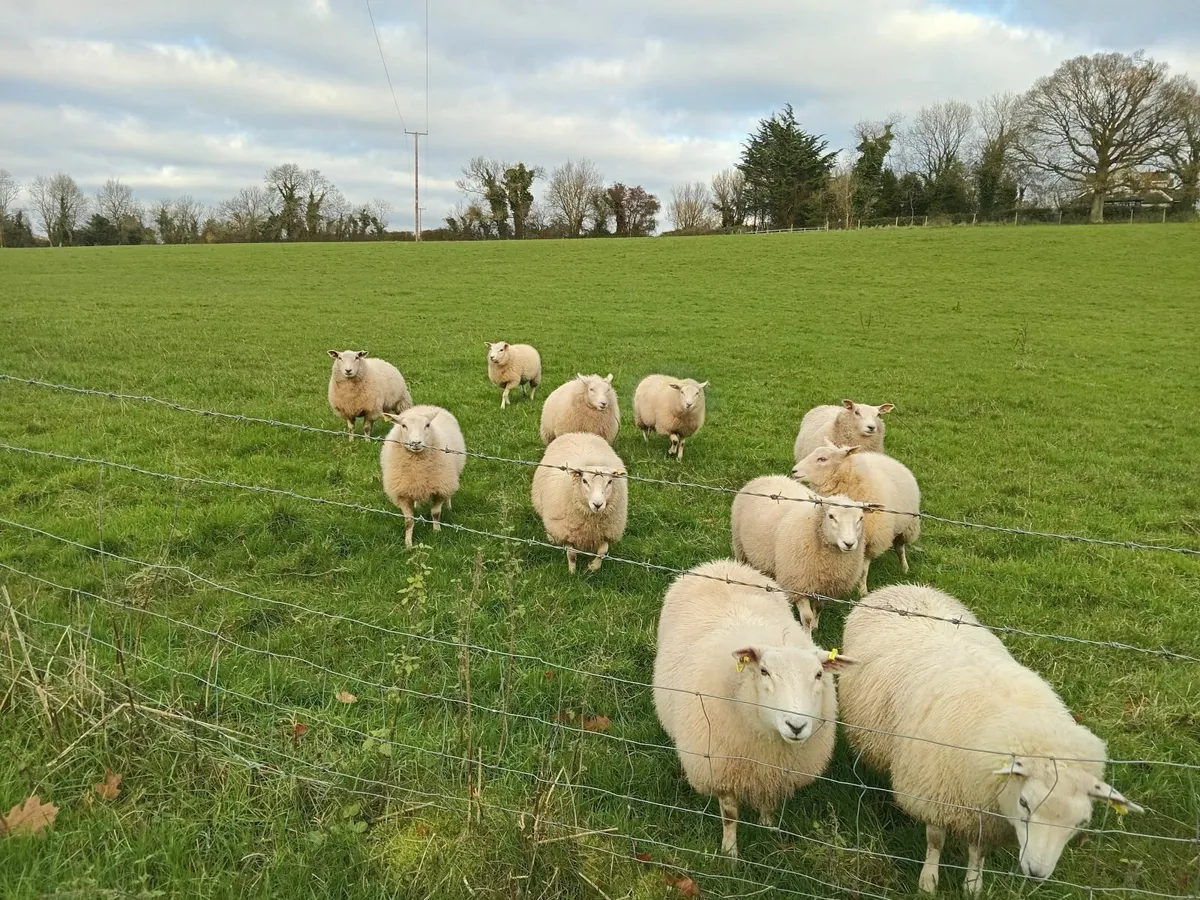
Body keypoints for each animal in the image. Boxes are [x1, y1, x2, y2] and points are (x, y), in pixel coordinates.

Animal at [379, 405, 466, 548]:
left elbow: (436, 513)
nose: (416, 442)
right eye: (403, 425)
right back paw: (417, 505)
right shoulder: (402, 493)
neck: (417, 465)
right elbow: (408, 521)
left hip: (451, 475)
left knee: (449, 494)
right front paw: (408, 544)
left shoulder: (440, 487)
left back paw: (448, 506)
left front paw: (437, 532)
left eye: (427, 425)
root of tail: (425, 406)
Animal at [530, 432, 627, 573]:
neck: (591, 522)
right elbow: (571, 554)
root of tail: (579, 433)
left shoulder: (606, 532)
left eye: (610, 482)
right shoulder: (566, 530)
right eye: (584, 481)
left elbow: (603, 552)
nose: (597, 505)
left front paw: (593, 567)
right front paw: (572, 572)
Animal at [652, 559, 855, 859]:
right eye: (764, 671)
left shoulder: (774, 772)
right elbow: (730, 815)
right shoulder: (720, 768)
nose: (796, 726)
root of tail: (722, 564)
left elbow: (769, 802)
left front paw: (767, 827)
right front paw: (730, 853)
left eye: (819, 675)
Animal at [792, 444, 919, 594]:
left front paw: (862, 592)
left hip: (908, 527)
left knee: (900, 547)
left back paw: (904, 568)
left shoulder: (872, 540)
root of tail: (891, 460)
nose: (794, 470)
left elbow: (863, 570)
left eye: (822, 459)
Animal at [838, 584, 1143, 894]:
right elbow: (936, 840)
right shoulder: (935, 793)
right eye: (1024, 803)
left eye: (1081, 822)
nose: (1036, 873)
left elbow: (979, 849)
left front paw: (973, 884)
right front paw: (929, 881)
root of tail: (903, 587)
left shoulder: (984, 813)